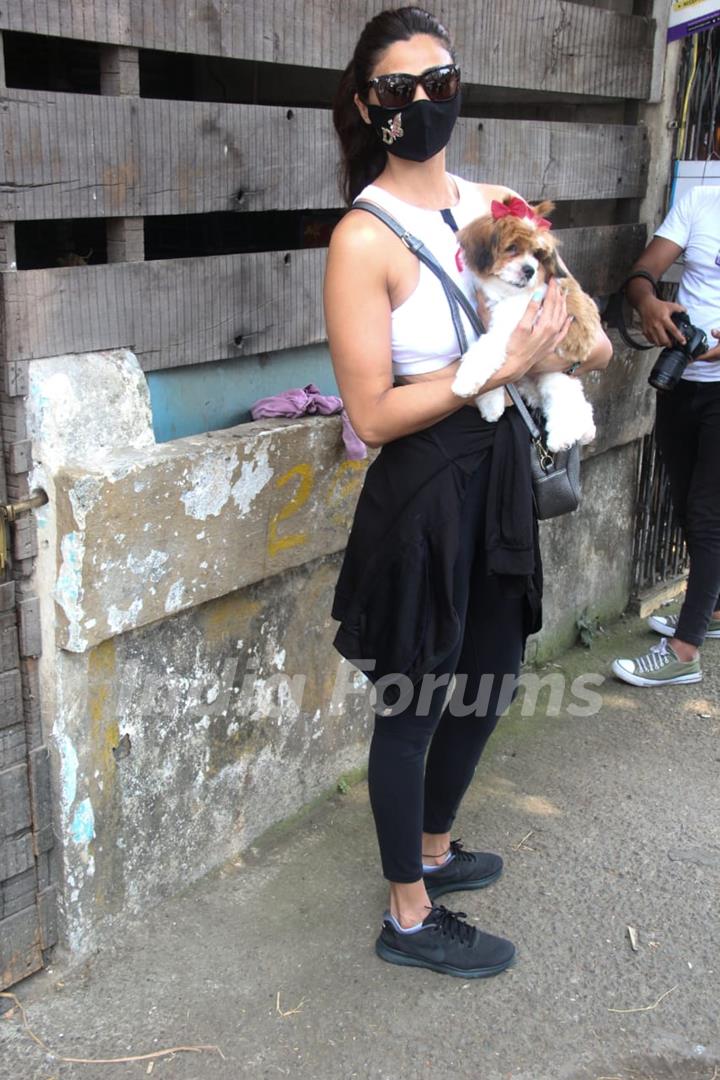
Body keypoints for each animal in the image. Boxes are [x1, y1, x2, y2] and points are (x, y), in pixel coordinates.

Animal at [453, 196, 600, 449]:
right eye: (512, 248)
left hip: (554, 371)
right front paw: (490, 404)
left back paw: (563, 437)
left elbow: (484, 351)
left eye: (538, 255)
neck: (504, 294)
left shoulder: (511, 329)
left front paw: (465, 381)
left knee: (566, 401)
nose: (529, 270)